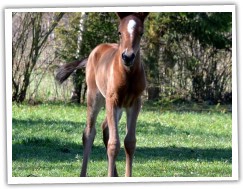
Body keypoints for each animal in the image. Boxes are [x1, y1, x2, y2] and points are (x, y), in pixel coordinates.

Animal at [56, 12, 149, 176]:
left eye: (141, 33)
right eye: (119, 32)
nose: (128, 57)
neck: (128, 75)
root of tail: (93, 52)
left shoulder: (135, 103)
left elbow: (129, 142)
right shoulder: (112, 101)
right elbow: (114, 144)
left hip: (117, 107)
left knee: (105, 128)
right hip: (95, 97)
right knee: (89, 133)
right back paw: (83, 174)